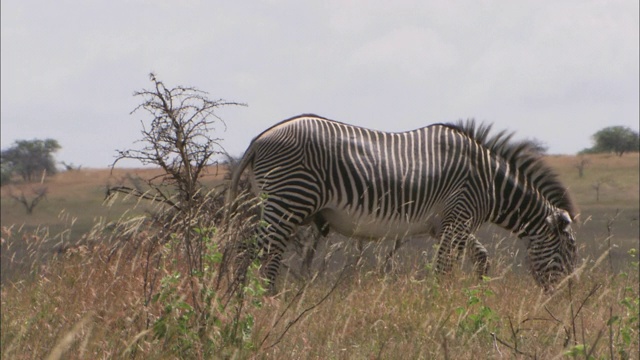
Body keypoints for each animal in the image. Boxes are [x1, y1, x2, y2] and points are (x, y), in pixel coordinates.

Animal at [228, 114, 576, 292]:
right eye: (568, 250)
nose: (563, 298)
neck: (489, 183)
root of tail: (258, 139)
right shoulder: (457, 218)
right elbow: (443, 269)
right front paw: (441, 307)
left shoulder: (451, 225)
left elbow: (481, 258)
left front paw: (476, 295)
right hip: (288, 200)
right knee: (258, 254)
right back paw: (260, 302)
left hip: (277, 204)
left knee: (254, 251)